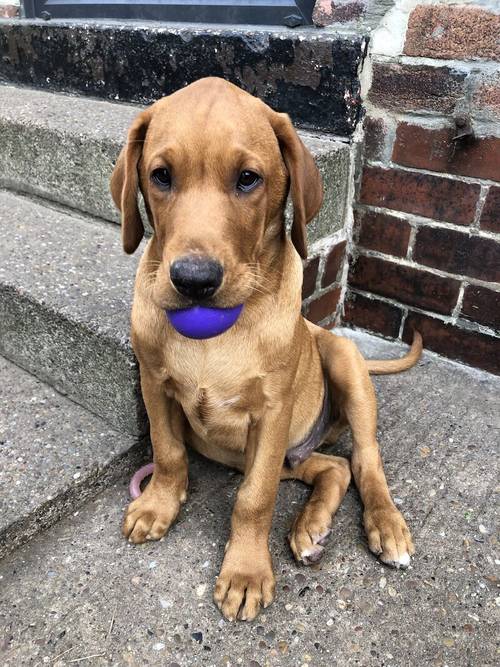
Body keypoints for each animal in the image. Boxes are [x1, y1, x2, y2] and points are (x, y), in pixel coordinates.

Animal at [110, 77, 422, 620]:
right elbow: (168, 452)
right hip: (283, 453)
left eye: (248, 179)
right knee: (333, 468)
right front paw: (157, 504)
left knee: (364, 461)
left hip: (342, 363)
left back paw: (385, 525)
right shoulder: (154, 384)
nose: (194, 281)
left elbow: (254, 499)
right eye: (161, 176)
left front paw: (245, 572)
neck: (218, 339)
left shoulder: (273, 412)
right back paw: (310, 528)